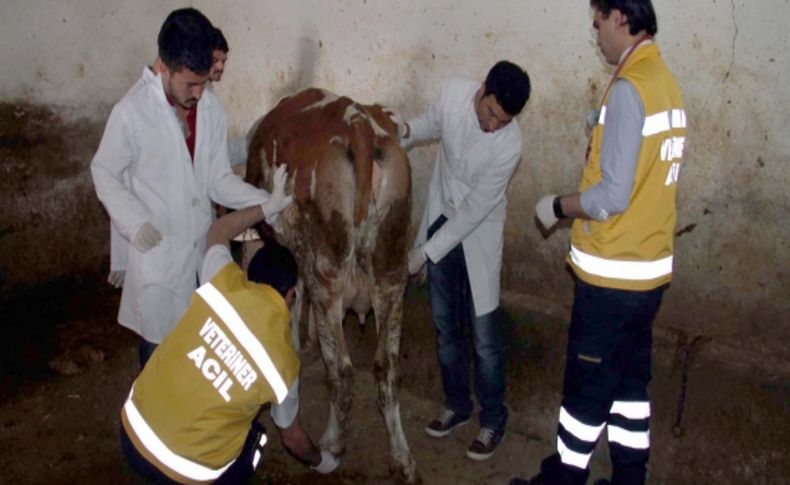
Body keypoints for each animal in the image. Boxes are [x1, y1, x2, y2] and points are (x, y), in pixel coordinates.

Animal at [248, 90, 420, 480]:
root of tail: (358, 124)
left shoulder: (294, 252)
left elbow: (294, 297)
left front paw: (297, 344)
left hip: (329, 274)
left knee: (341, 369)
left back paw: (330, 443)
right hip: (391, 273)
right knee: (386, 367)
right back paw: (402, 457)